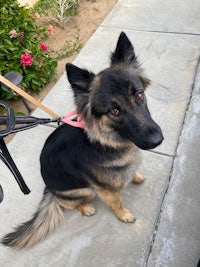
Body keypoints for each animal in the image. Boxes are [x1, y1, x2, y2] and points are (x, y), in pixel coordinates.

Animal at [1, 32, 163, 250]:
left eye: (139, 95)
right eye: (114, 110)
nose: (157, 140)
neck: (104, 140)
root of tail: (49, 190)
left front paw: (134, 176)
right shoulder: (105, 191)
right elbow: (116, 203)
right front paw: (124, 215)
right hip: (85, 190)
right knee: (68, 204)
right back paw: (86, 208)